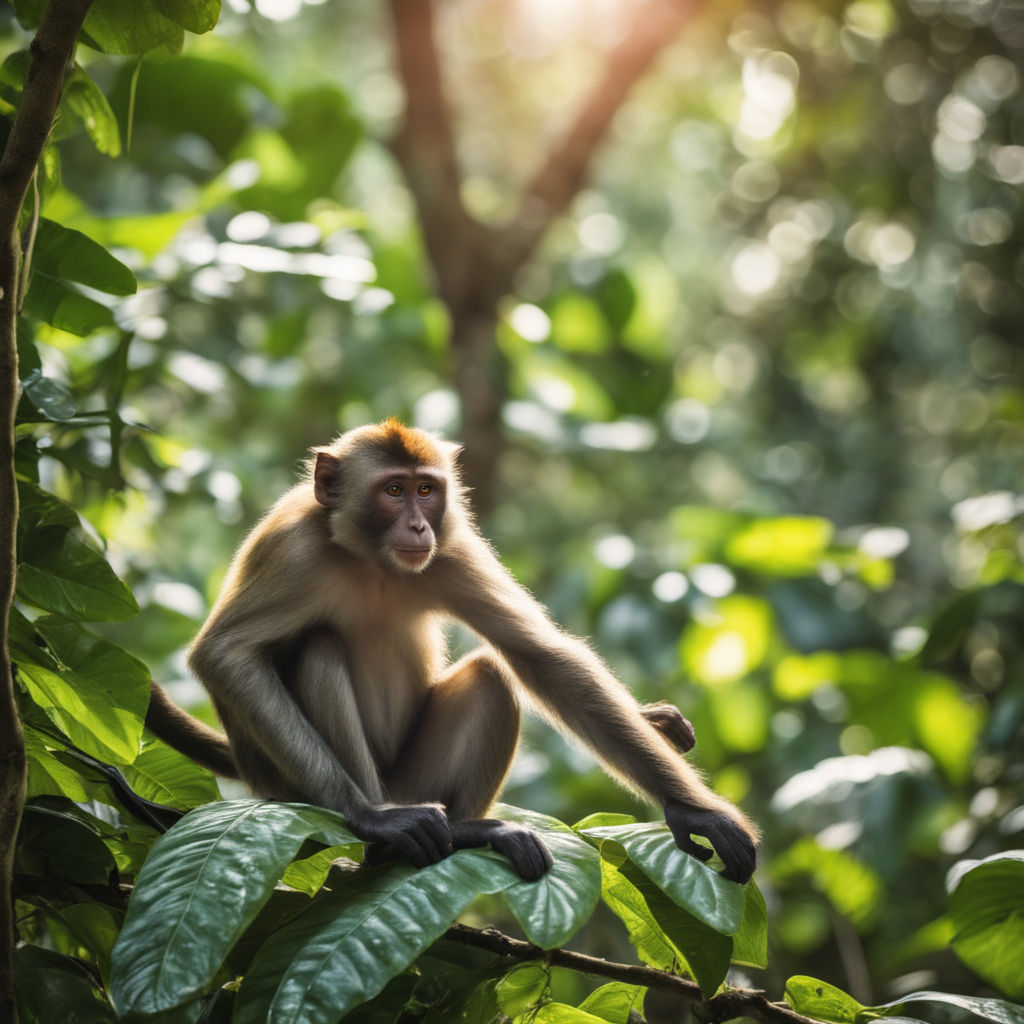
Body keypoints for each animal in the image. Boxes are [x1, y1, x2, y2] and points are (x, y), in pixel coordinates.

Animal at [148, 419, 757, 884]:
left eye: (426, 491)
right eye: (393, 490)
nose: (418, 525)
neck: (369, 560)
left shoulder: (452, 548)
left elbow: (539, 656)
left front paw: (690, 811)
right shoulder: (294, 550)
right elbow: (223, 654)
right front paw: (366, 817)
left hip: (418, 779)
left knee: (490, 674)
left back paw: (466, 831)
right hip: (301, 788)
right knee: (319, 647)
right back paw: (385, 834)